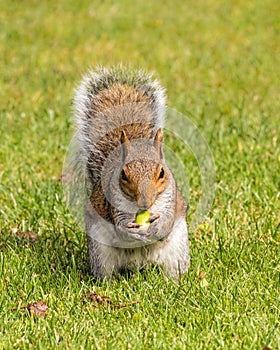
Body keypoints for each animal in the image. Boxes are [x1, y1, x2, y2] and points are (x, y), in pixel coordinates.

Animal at [71, 65, 190, 278]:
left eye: (162, 173)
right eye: (124, 175)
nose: (144, 202)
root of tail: (140, 265)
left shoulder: (170, 198)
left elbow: (167, 220)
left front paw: (158, 226)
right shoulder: (114, 202)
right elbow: (119, 226)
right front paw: (129, 231)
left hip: (177, 251)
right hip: (101, 252)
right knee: (105, 272)